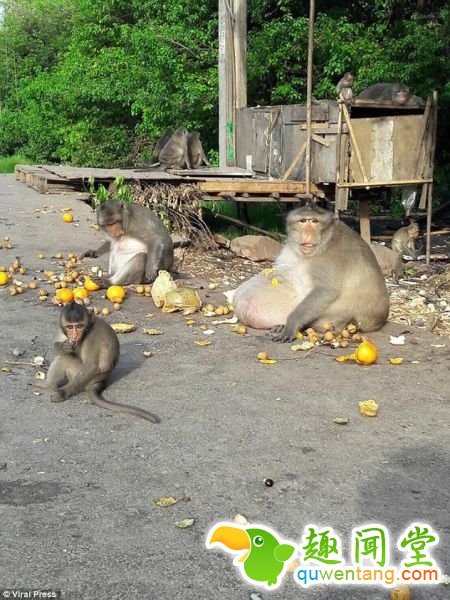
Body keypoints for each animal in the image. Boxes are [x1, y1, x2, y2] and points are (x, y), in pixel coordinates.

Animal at [234, 203, 388, 340]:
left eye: (314, 221)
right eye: (303, 221)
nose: (307, 233)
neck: (325, 240)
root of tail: (380, 321)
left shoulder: (332, 256)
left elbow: (326, 290)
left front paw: (292, 323)